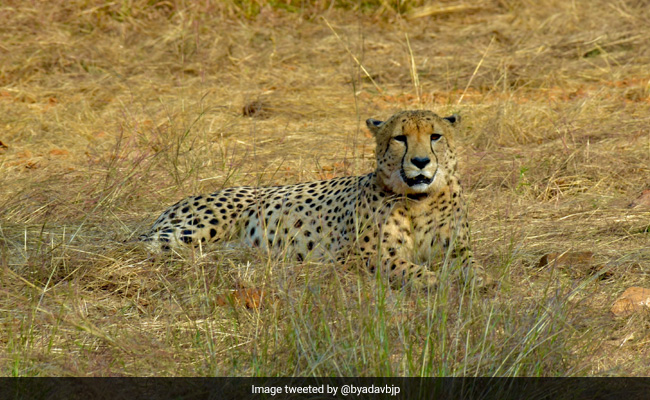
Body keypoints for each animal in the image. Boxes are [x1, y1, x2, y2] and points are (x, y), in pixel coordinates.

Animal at [139, 110, 489, 290]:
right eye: (400, 138)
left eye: (435, 136)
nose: (420, 162)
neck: (419, 200)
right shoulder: (361, 256)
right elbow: (405, 267)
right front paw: (431, 279)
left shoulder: (457, 248)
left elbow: (471, 265)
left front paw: (478, 279)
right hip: (194, 230)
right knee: (142, 246)